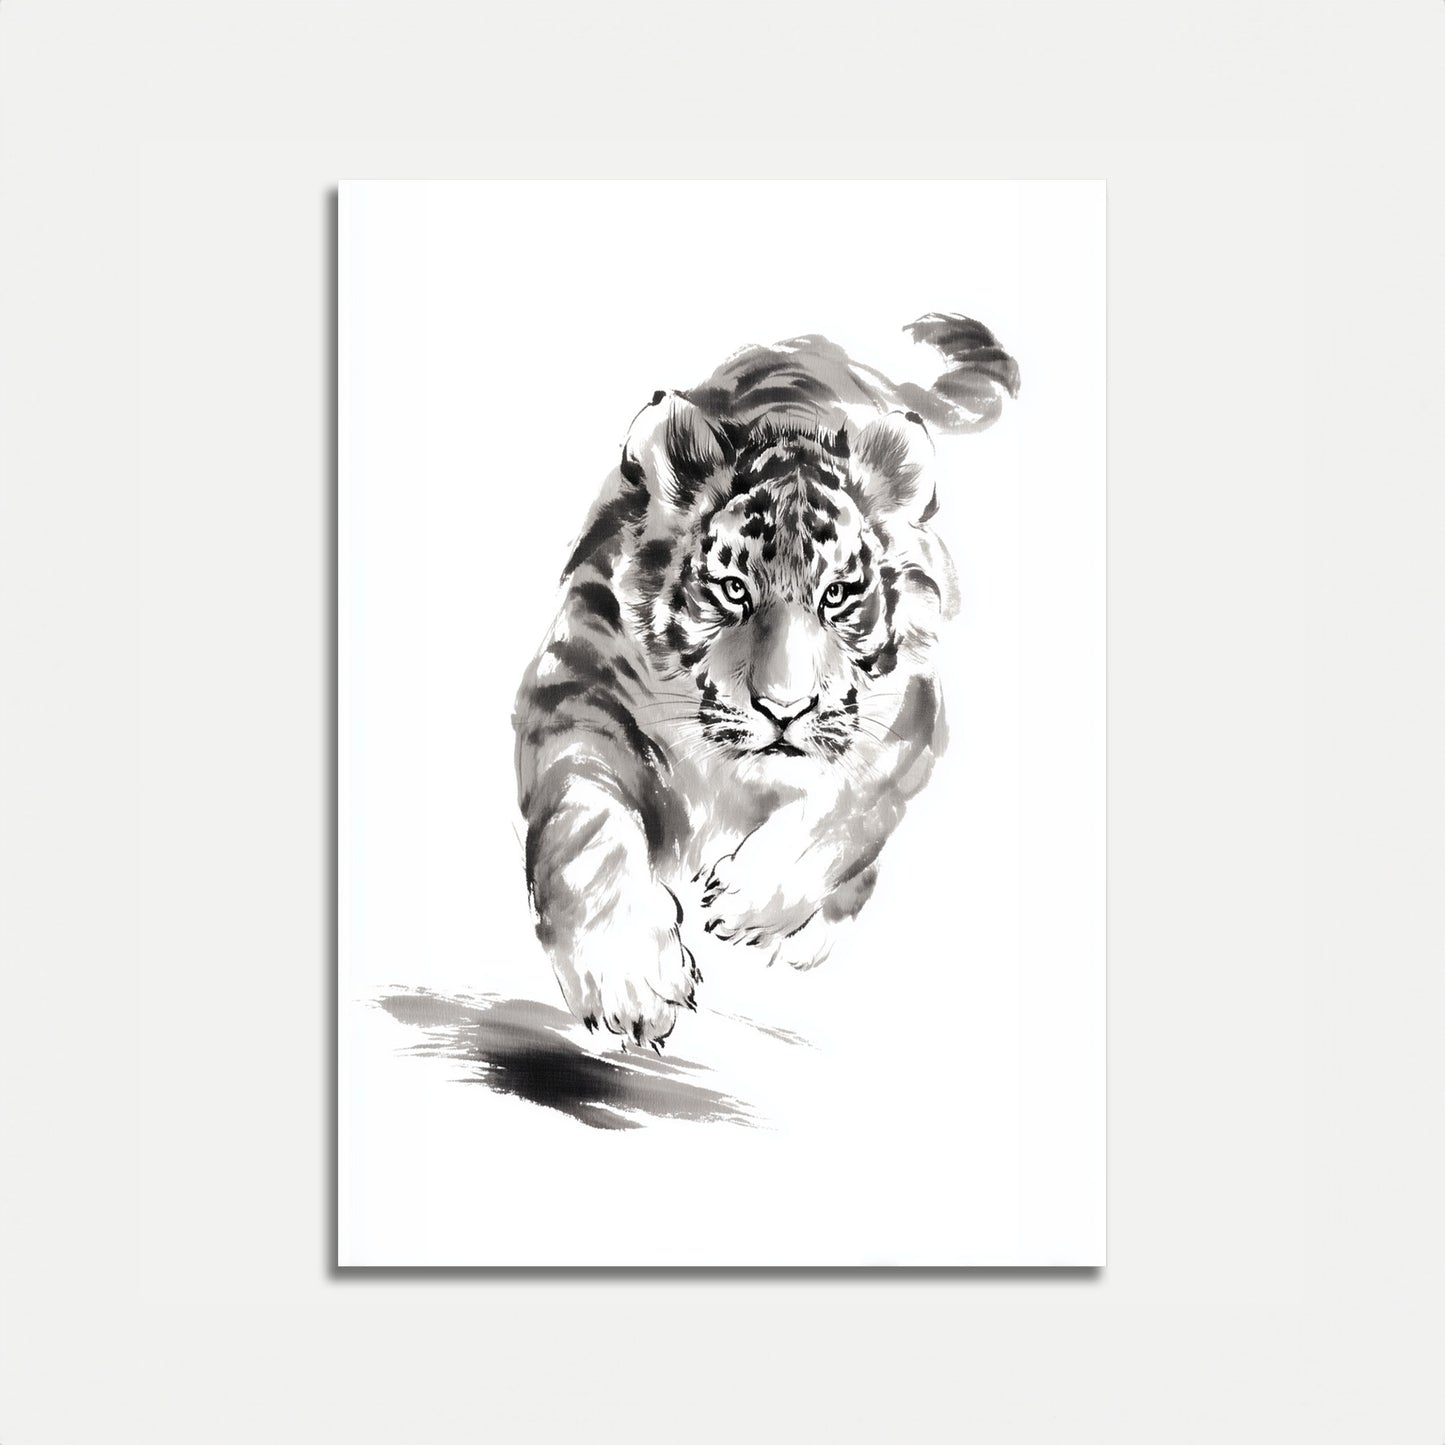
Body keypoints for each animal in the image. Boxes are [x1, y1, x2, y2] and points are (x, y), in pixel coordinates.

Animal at [513, 314, 1019, 1048]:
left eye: (837, 594)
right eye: (731, 589)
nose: (784, 709)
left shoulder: (910, 714)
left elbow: (847, 807)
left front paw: (742, 903)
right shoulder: (575, 680)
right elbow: (587, 828)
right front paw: (629, 981)